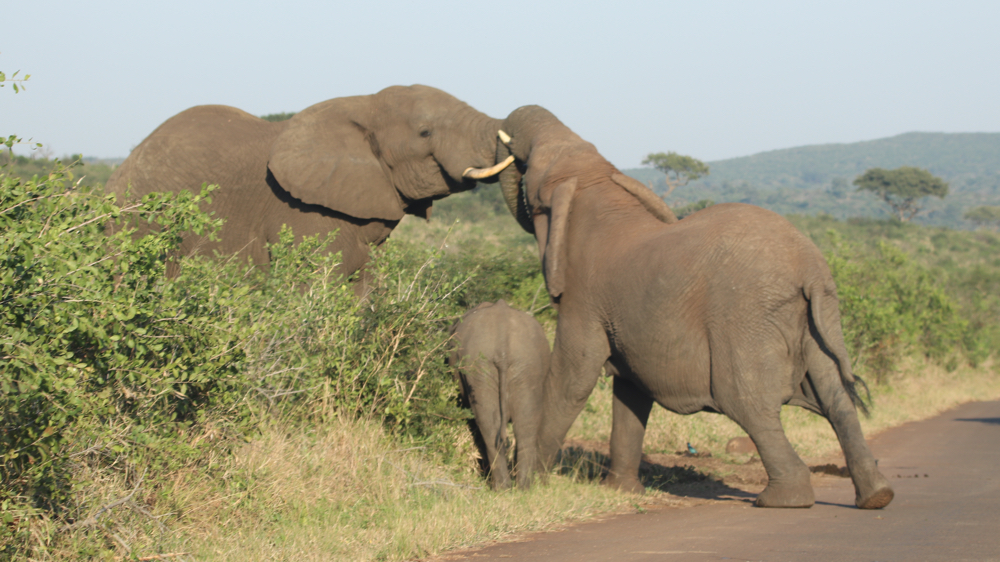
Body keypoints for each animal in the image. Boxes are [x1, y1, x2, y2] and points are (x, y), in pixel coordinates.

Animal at [449, 300, 551, 490]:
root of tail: (503, 344)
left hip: (492, 367)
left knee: (493, 426)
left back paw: (504, 488)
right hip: (521, 367)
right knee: (522, 426)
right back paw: (518, 488)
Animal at [493, 105, 894, 509]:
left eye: (533, 175)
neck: (596, 183)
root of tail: (810, 268)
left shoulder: (584, 298)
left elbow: (573, 378)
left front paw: (531, 484)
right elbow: (631, 392)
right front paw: (621, 491)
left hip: (746, 319)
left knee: (748, 404)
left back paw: (781, 499)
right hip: (816, 319)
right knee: (836, 400)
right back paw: (877, 496)